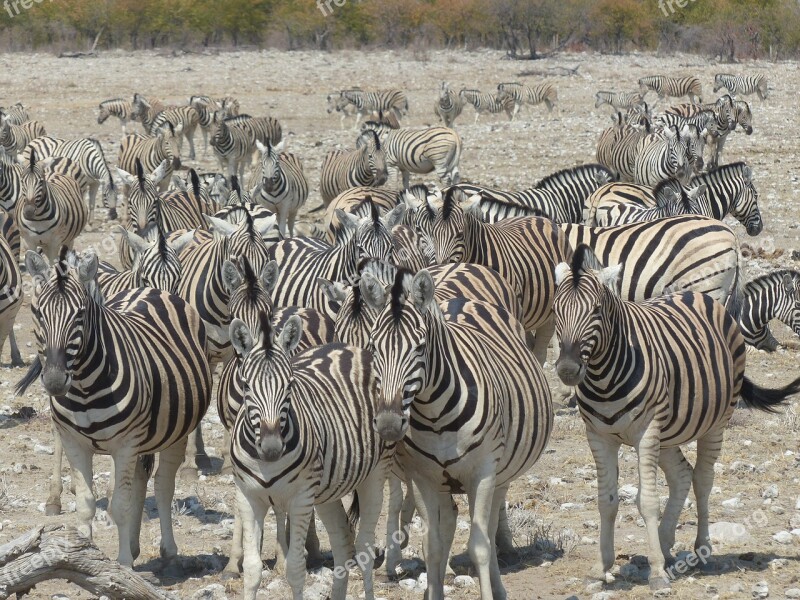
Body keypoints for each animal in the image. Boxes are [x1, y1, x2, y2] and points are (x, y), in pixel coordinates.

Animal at [19, 247, 212, 568]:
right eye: (37, 313)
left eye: (80, 314)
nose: (56, 381)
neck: (84, 388)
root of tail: (150, 289)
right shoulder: (75, 443)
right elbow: (86, 505)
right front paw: (84, 557)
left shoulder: (125, 443)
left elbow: (120, 506)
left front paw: (122, 567)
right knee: (141, 479)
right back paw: (134, 546)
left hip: (176, 429)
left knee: (163, 484)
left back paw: (167, 550)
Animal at [230, 310, 392, 600]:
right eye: (246, 386)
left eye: (290, 385)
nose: (271, 449)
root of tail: (350, 347)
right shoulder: (248, 497)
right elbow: (252, 569)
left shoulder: (301, 498)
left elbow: (295, 568)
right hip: (328, 489)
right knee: (343, 541)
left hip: (375, 472)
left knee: (364, 547)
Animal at [360, 268, 552, 600]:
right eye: (373, 347)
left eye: (420, 346)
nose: (388, 424)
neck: (434, 414)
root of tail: (460, 299)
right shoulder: (422, 477)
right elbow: (433, 546)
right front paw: (434, 590)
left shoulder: (483, 471)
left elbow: (479, 546)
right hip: (444, 481)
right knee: (449, 520)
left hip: (500, 473)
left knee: (489, 524)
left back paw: (498, 587)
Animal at [552, 245, 800, 592]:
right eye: (555, 309)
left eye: (597, 310)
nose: (567, 370)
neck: (603, 376)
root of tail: (697, 295)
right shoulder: (598, 436)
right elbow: (607, 501)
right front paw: (602, 567)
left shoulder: (646, 432)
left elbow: (647, 501)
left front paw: (656, 572)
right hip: (669, 430)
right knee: (682, 475)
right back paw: (666, 543)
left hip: (714, 422)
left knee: (702, 479)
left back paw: (701, 549)